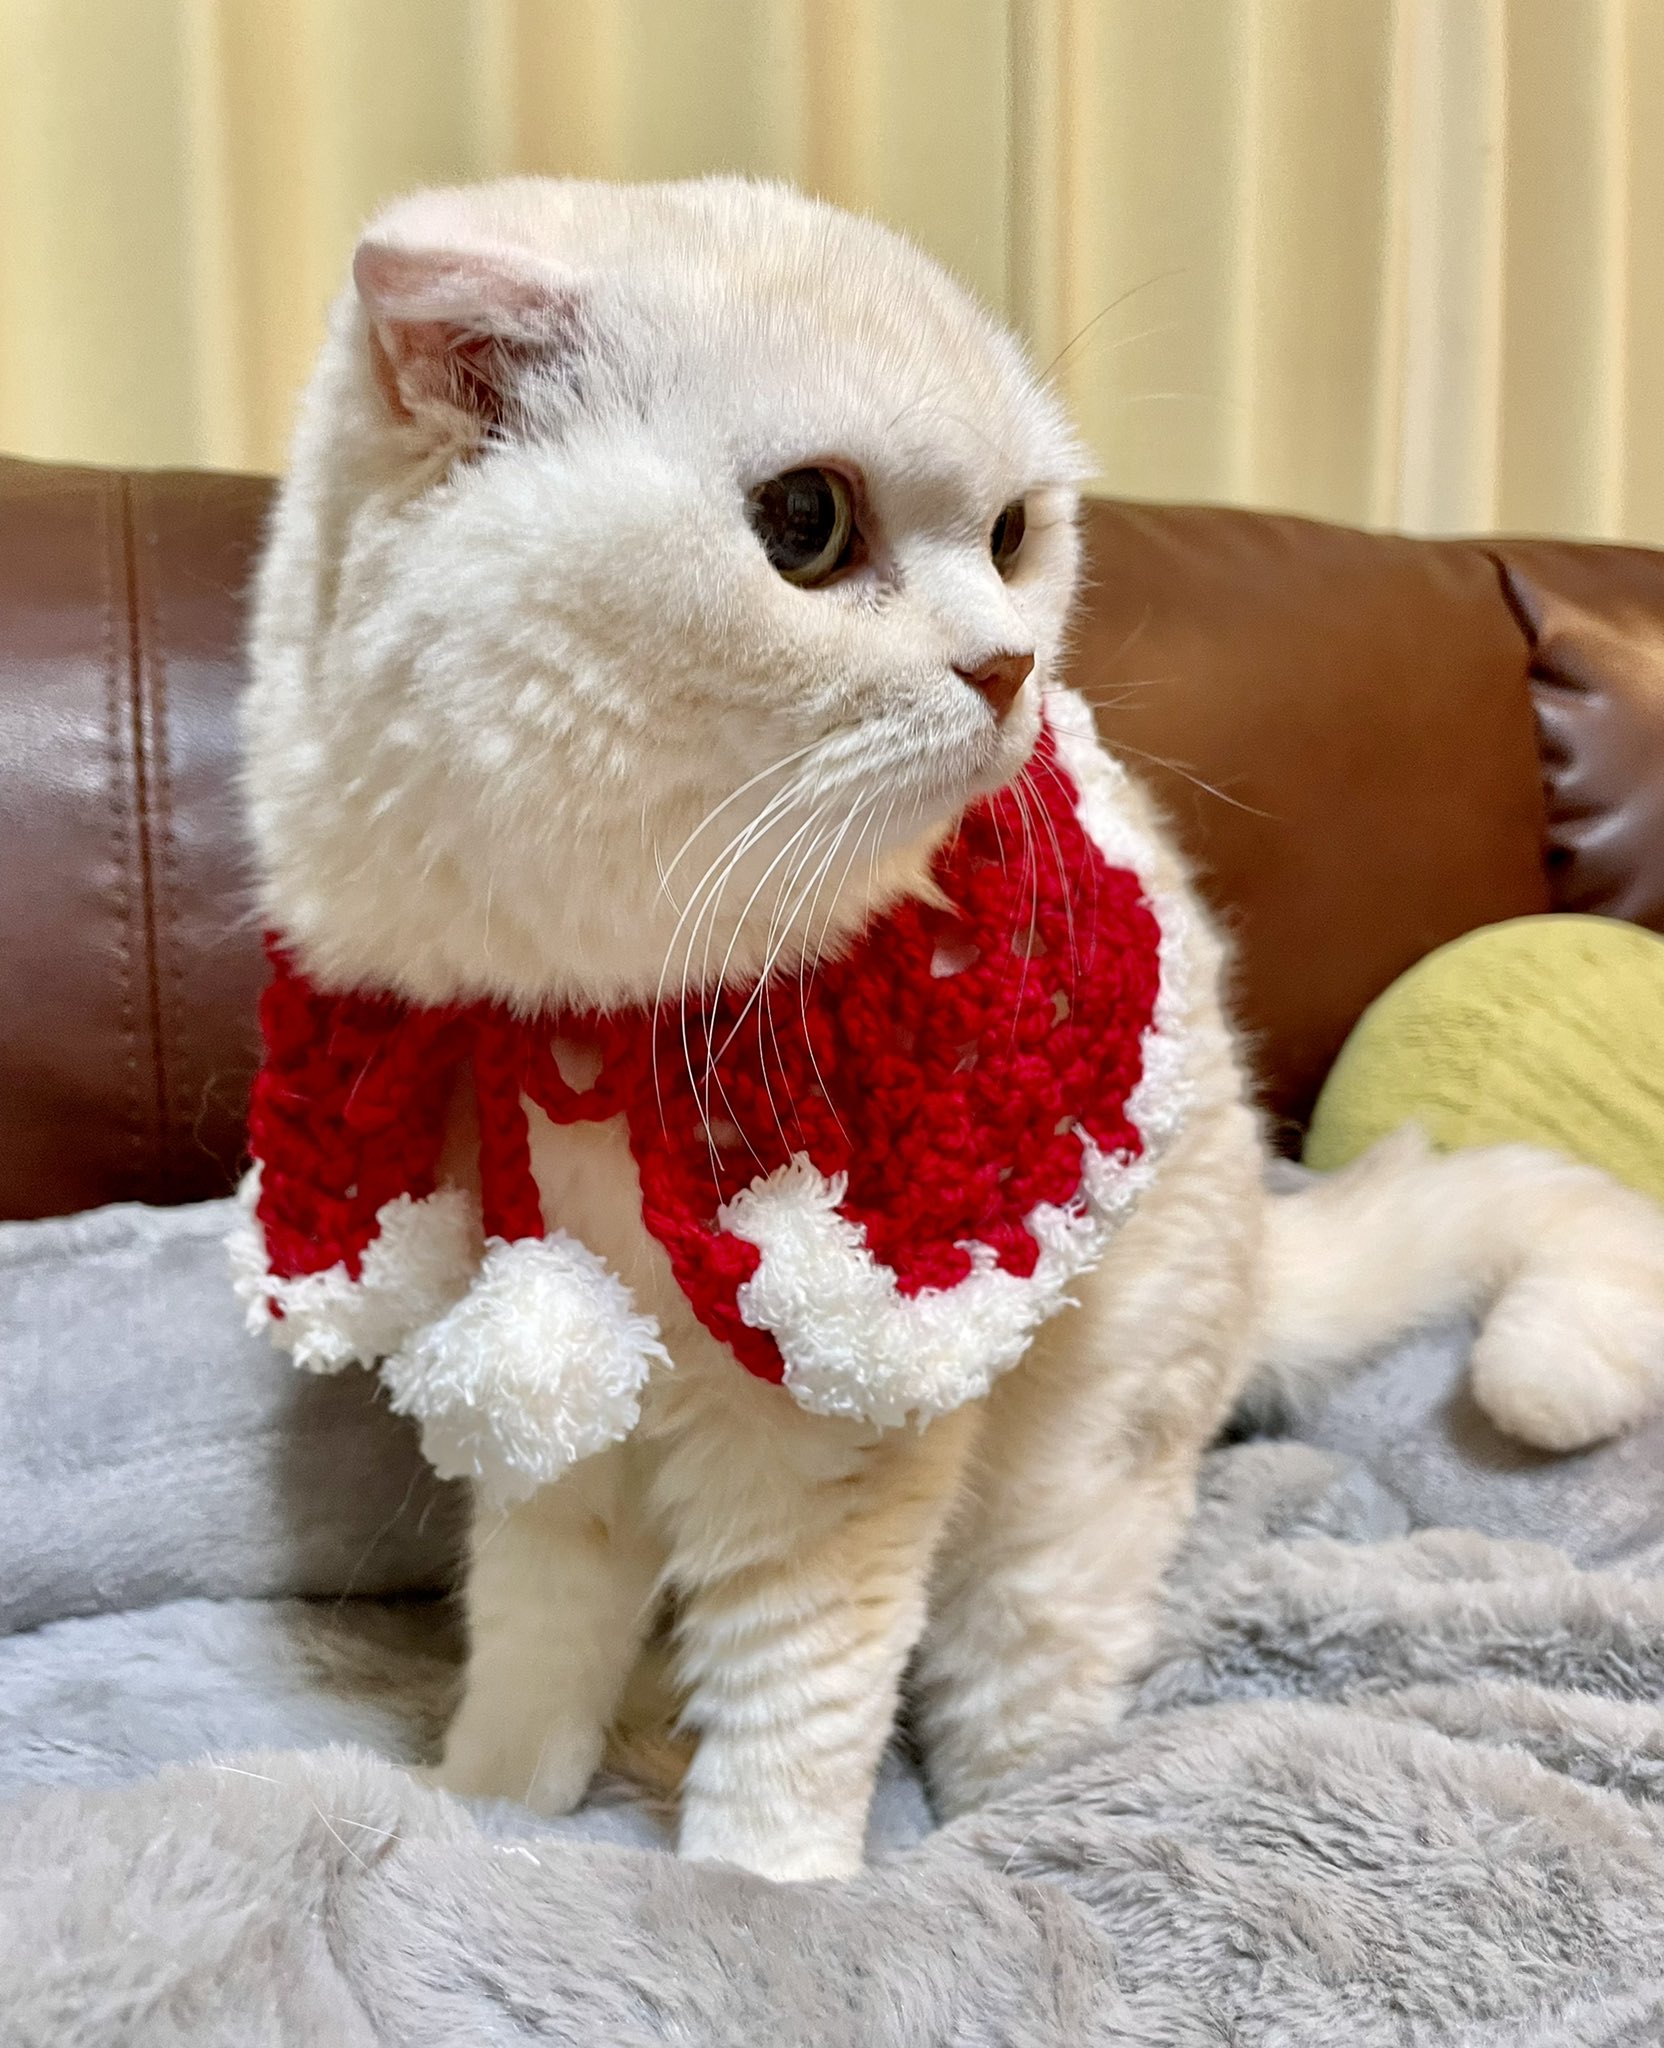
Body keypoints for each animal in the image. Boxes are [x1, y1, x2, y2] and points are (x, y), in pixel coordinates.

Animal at [239, 176, 1664, 1882]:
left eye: (1009, 536)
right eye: (807, 525)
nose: (1010, 666)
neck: (602, 1008)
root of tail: (1261, 1233)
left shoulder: (821, 1427)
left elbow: (796, 1694)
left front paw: (754, 1892)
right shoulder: (543, 1401)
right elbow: (532, 1639)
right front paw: (488, 1812)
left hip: (1066, 1497)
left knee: (1027, 1688)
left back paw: (1024, 1822)